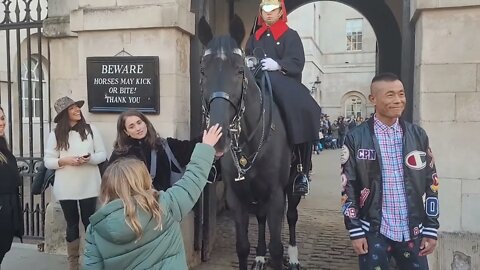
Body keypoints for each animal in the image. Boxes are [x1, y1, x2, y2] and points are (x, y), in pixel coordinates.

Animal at [199, 15, 304, 268]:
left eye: (239, 70)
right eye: (203, 71)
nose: (218, 137)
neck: (249, 139)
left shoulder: (276, 195)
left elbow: (276, 248)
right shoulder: (237, 198)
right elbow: (242, 247)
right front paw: (255, 254)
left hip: (292, 186)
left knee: (292, 216)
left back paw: (293, 257)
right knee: (262, 217)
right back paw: (259, 256)